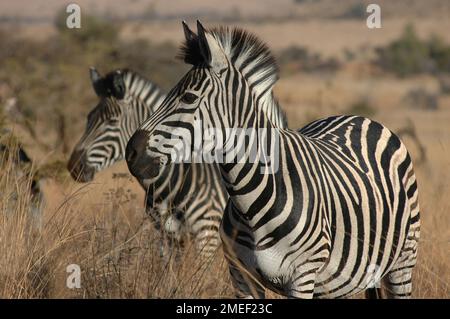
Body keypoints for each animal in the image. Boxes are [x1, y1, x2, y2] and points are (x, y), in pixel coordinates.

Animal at [126, 22, 422, 300]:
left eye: (188, 97)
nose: (132, 153)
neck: (251, 201)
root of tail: (362, 118)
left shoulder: (301, 276)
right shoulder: (241, 275)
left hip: (402, 263)